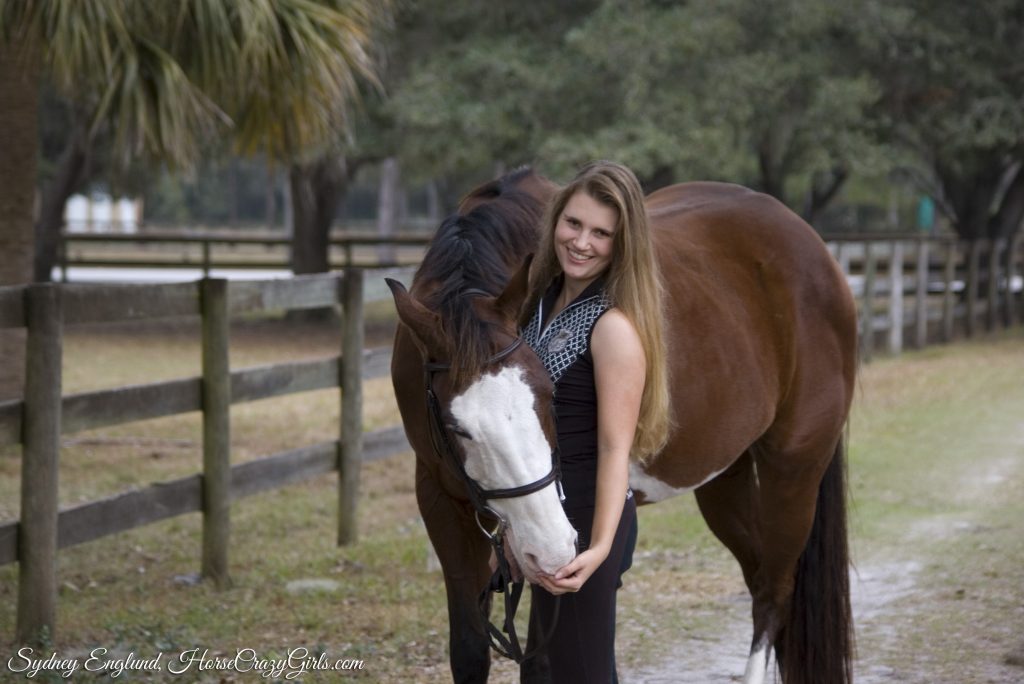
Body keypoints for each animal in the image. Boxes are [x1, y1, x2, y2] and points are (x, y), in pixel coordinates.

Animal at [385, 166, 856, 684]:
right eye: (458, 428)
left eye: (549, 396)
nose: (553, 550)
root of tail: (814, 248)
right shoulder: (440, 502)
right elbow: (470, 651)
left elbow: (544, 659)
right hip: (724, 479)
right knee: (757, 579)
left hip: (793, 469)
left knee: (774, 590)